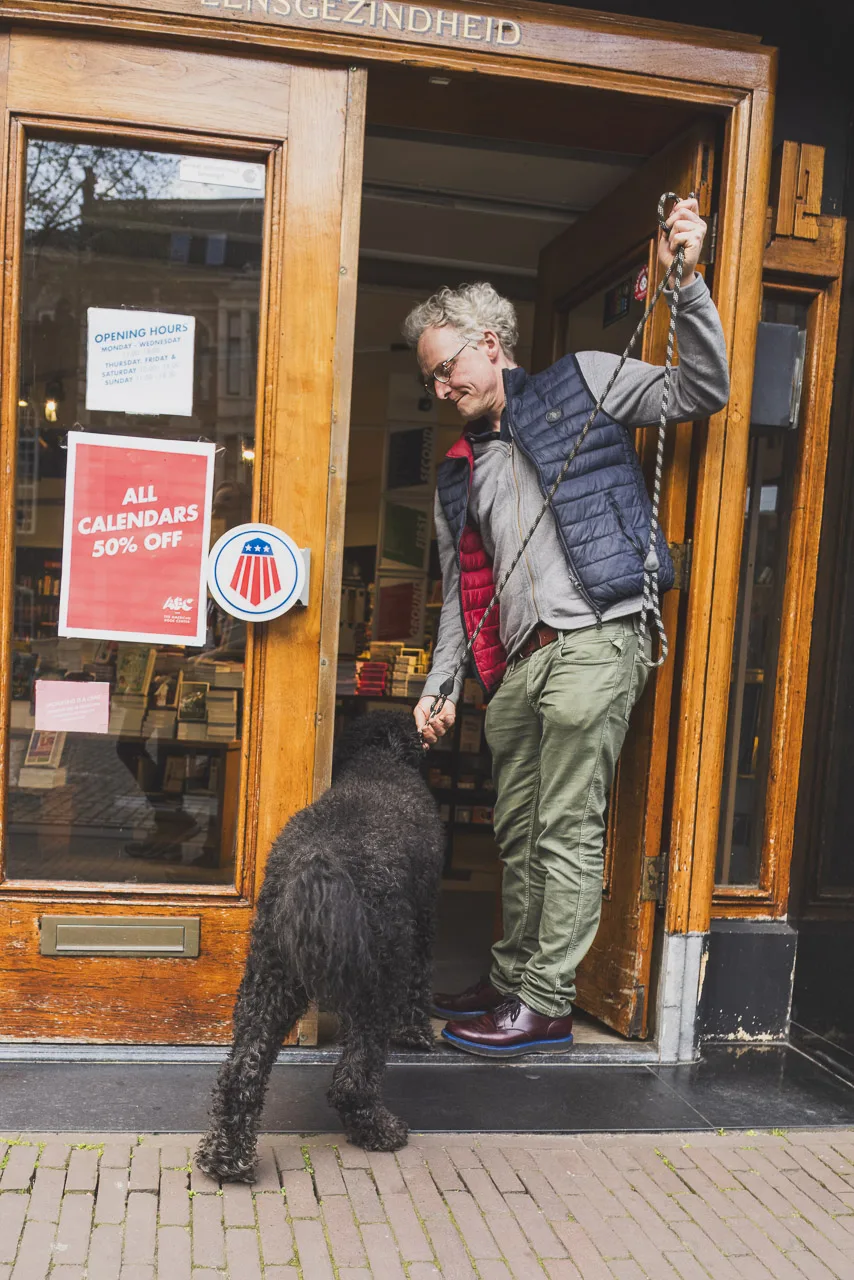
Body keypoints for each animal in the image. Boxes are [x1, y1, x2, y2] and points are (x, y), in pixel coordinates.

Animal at [197, 711, 445, 1177]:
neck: (379, 756)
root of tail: (316, 859)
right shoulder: (422, 920)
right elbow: (420, 985)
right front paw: (417, 1032)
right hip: (377, 978)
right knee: (353, 1079)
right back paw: (379, 1130)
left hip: (268, 978)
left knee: (242, 1071)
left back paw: (226, 1157)